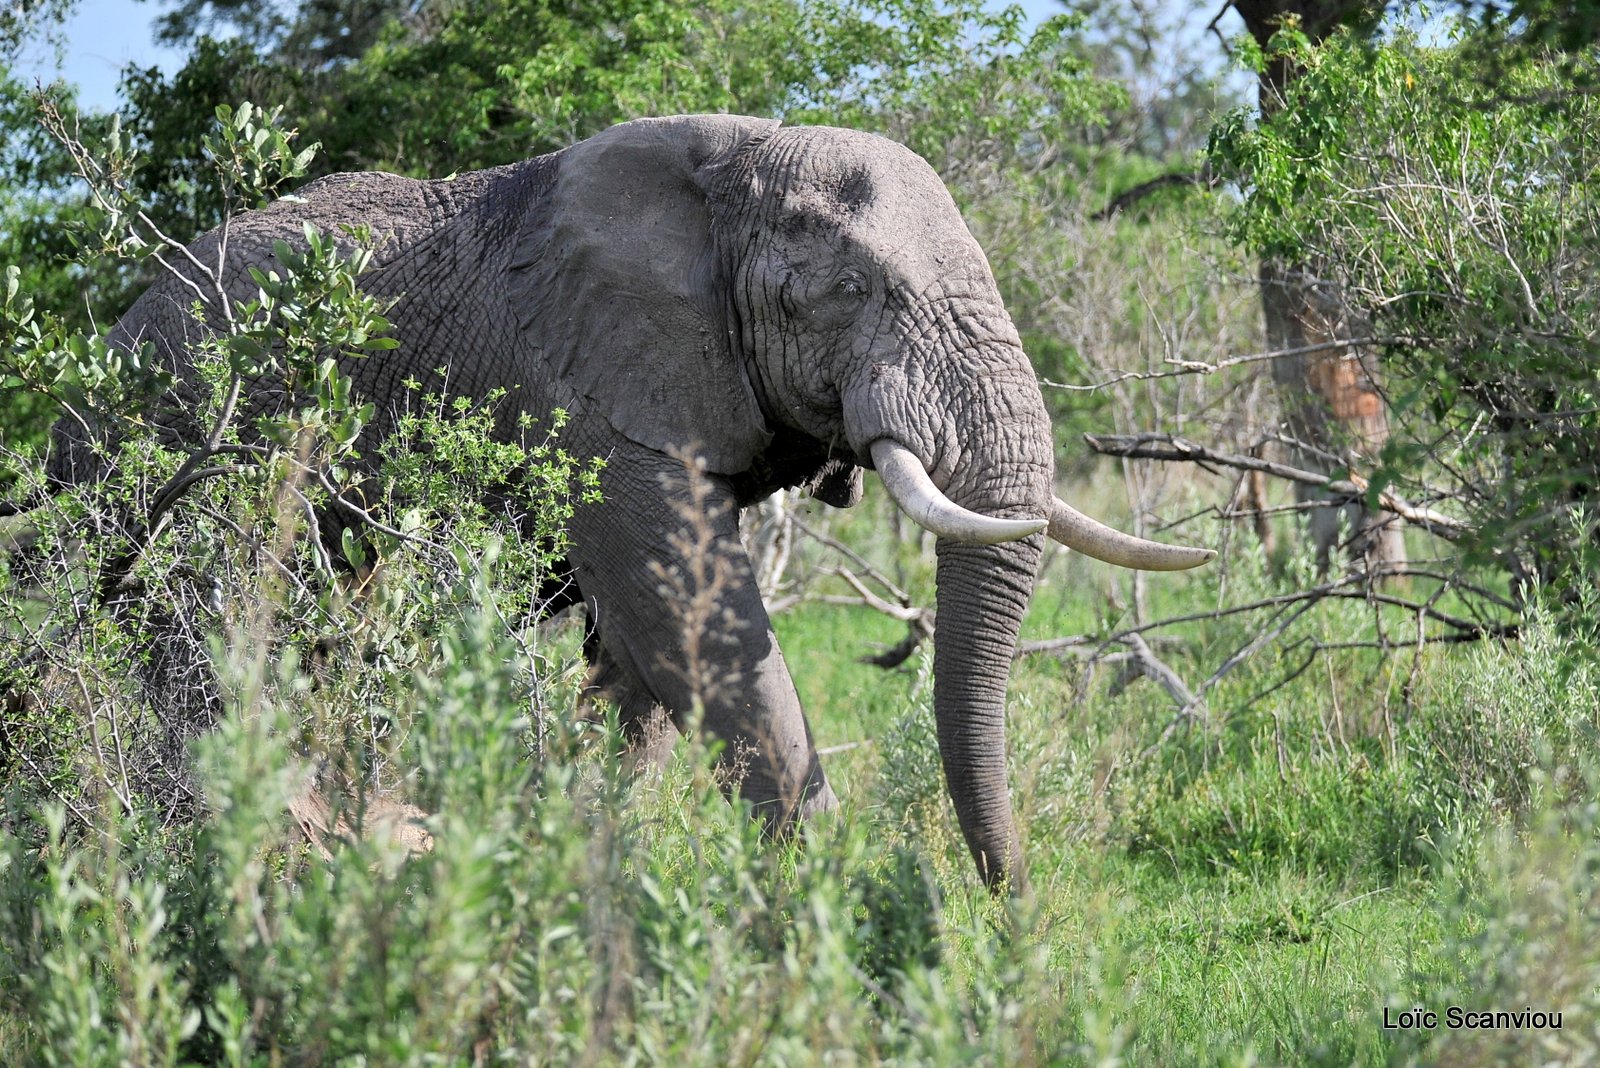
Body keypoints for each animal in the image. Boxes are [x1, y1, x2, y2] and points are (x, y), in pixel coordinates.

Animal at [50, 112, 1203, 888]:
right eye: (851, 292)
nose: (1009, 905)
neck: (739, 164)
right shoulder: (590, 393)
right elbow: (695, 624)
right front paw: (817, 905)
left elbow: (644, 660)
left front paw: (581, 851)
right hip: (148, 437)